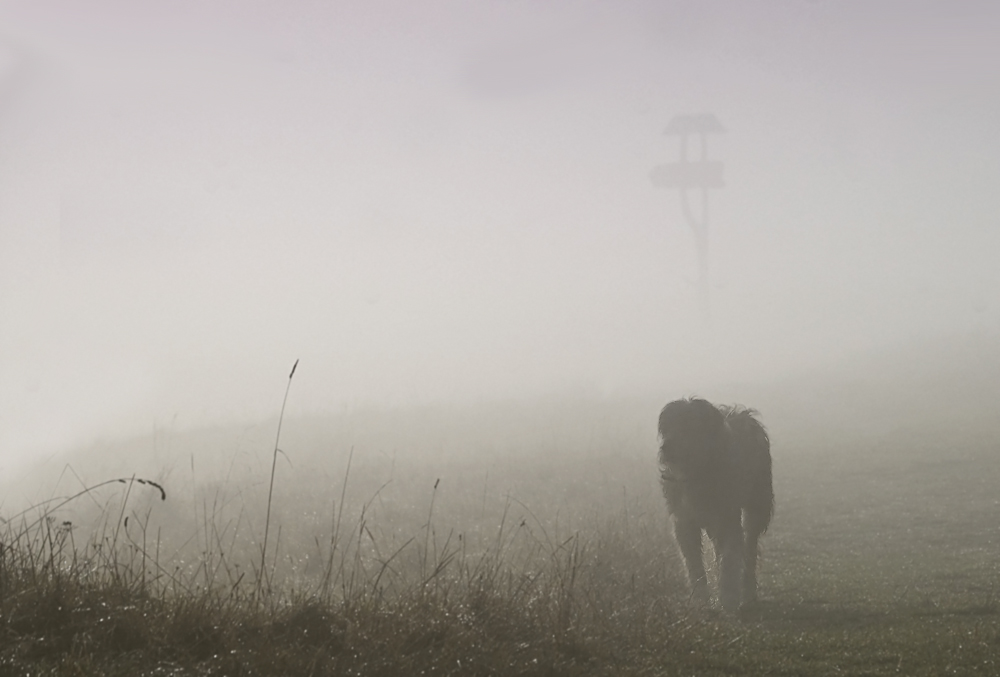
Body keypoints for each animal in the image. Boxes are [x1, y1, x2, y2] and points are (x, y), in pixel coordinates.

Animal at [660, 398, 776, 608]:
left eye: (688, 425)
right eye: (669, 426)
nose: (666, 447)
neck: (699, 471)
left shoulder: (728, 517)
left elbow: (730, 558)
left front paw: (729, 597)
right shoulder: (685, 521)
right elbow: (694, 561)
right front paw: (700, 597)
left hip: (756, 504)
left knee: (750, 544)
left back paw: (748, 589)